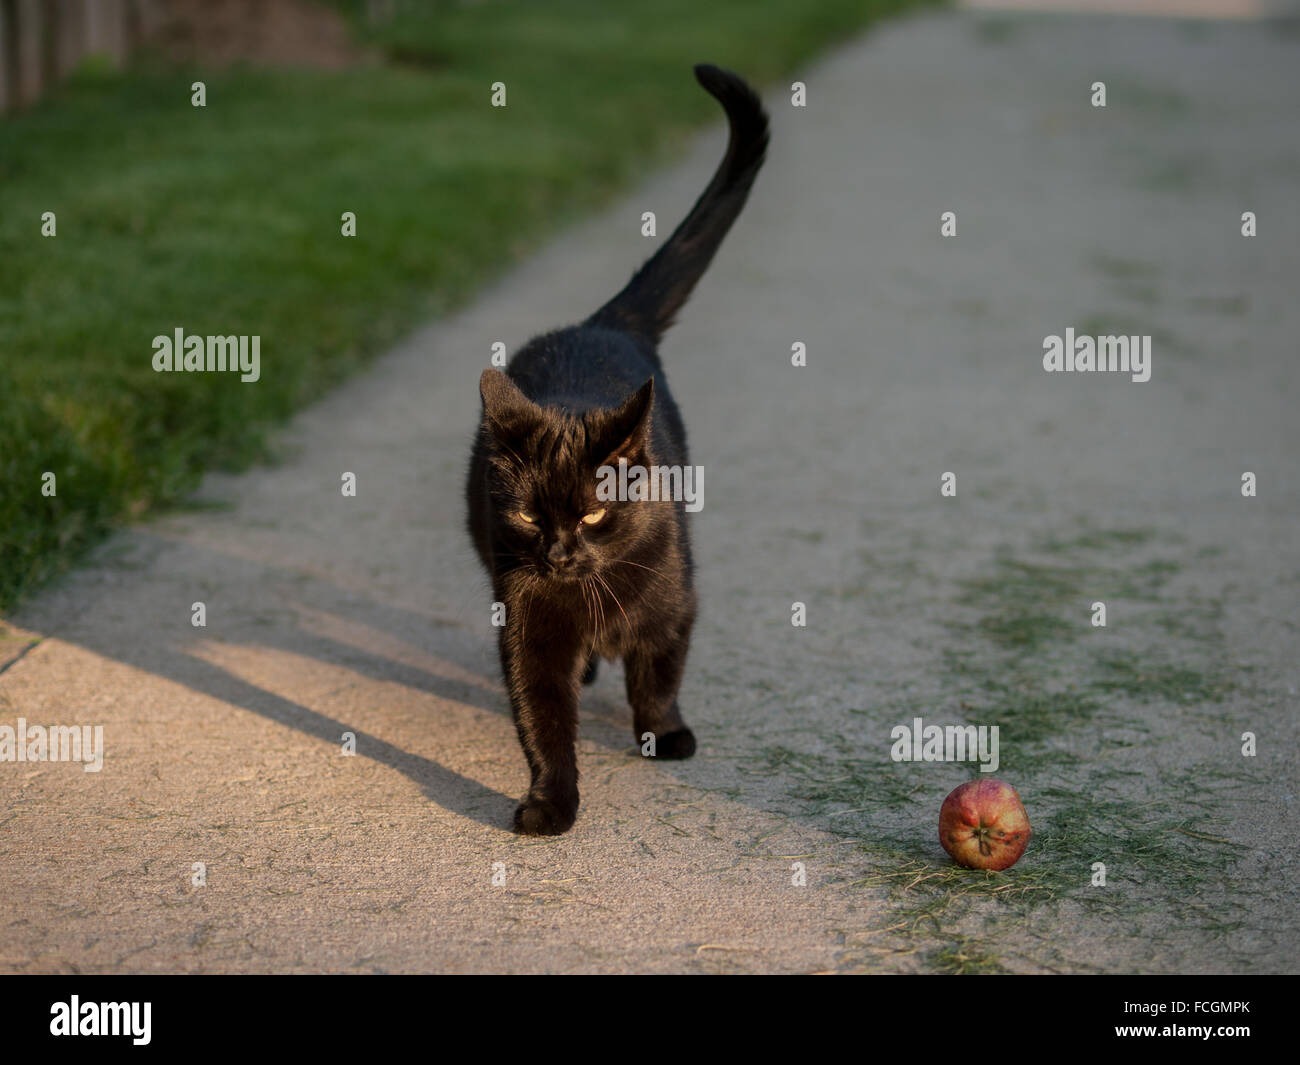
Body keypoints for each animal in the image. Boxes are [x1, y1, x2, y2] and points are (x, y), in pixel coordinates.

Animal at [467, 64, 764, 832]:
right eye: (530, 517)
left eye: (596, 514)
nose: (559, 553)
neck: (590, 591)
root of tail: (601, 322)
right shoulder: (527, 629)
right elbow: (542, 721)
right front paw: (551, 804)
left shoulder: (675, 605)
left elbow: (658, 676)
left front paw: (666, 735)